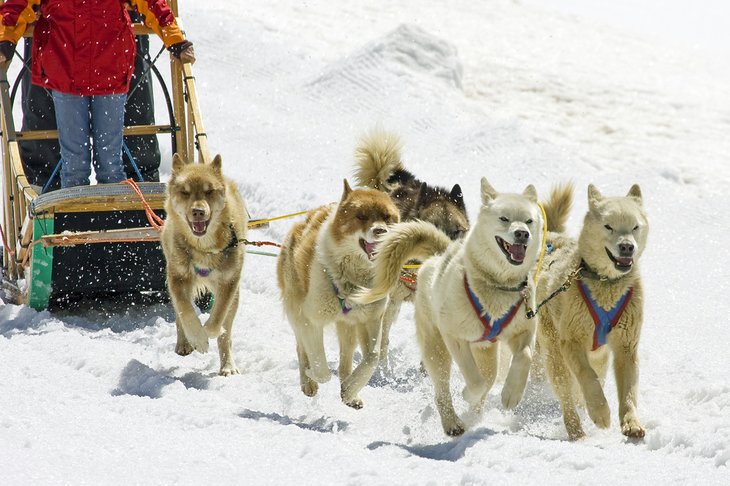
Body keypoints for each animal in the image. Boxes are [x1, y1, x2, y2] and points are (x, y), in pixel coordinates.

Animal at [160, 153, 247, 376]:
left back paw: (227, 365)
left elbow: (218, 318)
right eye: (185, 192)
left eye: (209, 191)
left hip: (235, 295)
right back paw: (184, 343)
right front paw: (197, 338)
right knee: (179, 314)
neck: (203, 248)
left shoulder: (230, 282)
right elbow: (186, 312)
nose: (198, 211)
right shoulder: (177, 278)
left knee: (226, 332)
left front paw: (207, 332)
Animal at [276, 180, 398, 408]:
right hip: (296, 311)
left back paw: (349, 392)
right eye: (362, 216)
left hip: (348, 326)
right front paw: (312, 375)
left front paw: (350, 389)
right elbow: (321, 369)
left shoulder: (371, 319)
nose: (381, 230)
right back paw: (307, 381)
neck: (351, 280)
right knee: (302, 348)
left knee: (345, 361)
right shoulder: (310, 320)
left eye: (387, 217)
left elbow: (372, 357)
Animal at [536, 183, 648, 440]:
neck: (606, 283)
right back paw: (577, 432)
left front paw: (631, 423)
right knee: (567, 397)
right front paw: (600, 412)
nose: (627, 247)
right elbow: (588, 377)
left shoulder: (626, 347)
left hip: (600, 357)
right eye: (609, 226)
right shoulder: (572, 342)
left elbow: (628, 392)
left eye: (635, 226)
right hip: (556, 356)